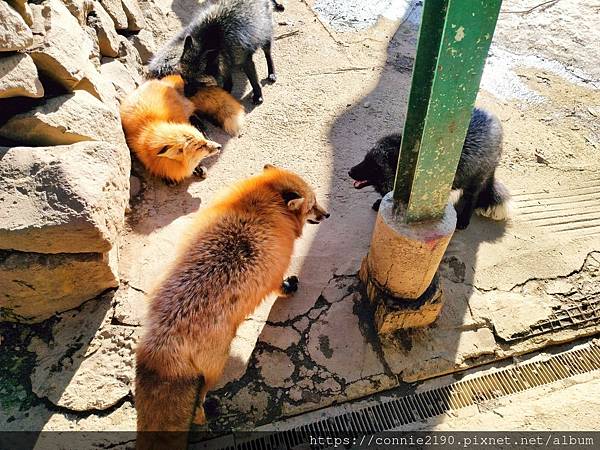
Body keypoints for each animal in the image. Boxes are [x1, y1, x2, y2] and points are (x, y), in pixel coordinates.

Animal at [135, 166, 328, 450]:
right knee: (199, 405)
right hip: (217, 364)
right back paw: (208, 412)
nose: (327, 214)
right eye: (313, 205)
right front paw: (290, 287)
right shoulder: (275, 273)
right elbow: (280, 287)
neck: (262, 206)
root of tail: (164, 341)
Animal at [146, 0, 280, 103]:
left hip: (265, 36)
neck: (213, 38)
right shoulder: (224, 63)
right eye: (184, 77)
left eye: (199, 82)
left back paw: (271, 72)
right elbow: (227, 80)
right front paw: (226, 92)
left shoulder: (245, 60)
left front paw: (258, 95)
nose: (187, 95)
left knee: (268, 54)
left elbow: (254, 81)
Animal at [350, 107, 512, 230]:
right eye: (365, 159)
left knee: (472, 198)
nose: (350, 171)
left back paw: (463, 220)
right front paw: (380, 202)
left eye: (374, 166)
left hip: (476, 180)